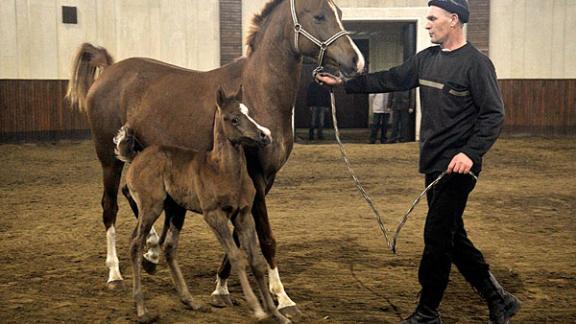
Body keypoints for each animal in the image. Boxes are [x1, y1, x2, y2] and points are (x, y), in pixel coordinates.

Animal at [115, 86, 290, 324]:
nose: (265, 135)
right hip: (151, 207)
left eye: (249, 112)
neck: (224, 170)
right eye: (234, 119)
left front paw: (277, 313)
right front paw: (257, 308)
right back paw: (142, 309)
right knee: (135, 243)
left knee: (169, 248)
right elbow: (236, 256)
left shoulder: (243, 215)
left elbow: (255, 261)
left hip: (175, 210)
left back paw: (190, 301)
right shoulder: (214, 215)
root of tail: (136, 157)